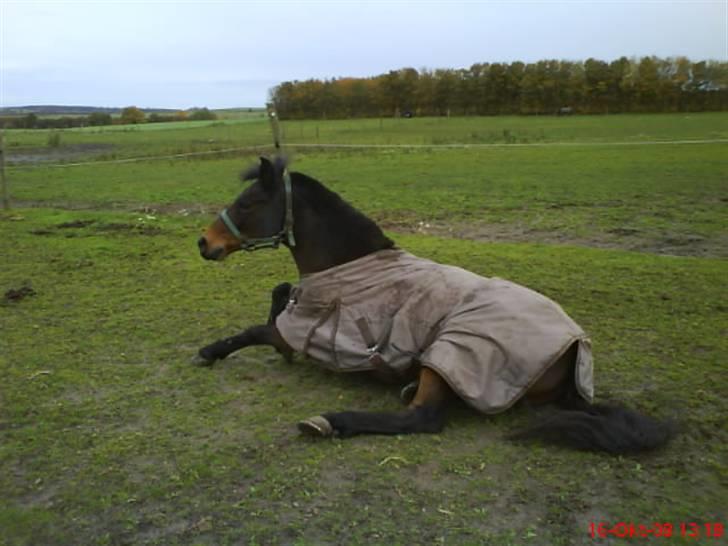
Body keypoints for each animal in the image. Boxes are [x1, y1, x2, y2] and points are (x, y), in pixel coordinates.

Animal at [195, 155, 676, 452]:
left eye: (249, 203)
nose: (204, 243)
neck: (347, 263)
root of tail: (574, 345)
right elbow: (269, 307)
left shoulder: (298, 333)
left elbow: (256, 330)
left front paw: (208, 352)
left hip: (448, 355)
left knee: (422, 418)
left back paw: (330, 421)